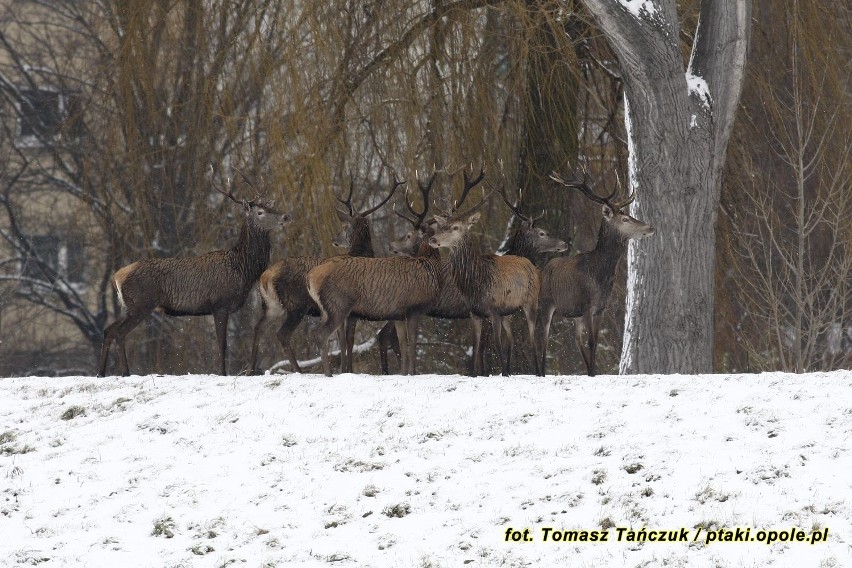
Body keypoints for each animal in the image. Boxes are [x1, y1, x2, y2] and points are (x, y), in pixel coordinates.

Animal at [98, 173, 292, 378]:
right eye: (260, 212)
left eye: (271, 207)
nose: (286, 216)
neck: (242, 270)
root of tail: (116, 277)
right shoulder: (219, 304)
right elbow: (222, 343)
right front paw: (223, 373)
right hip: (141, 305)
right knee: (120, 333)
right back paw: (125, 373)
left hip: (127, 306)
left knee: (108, 330)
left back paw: (101, 373)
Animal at [248, 175, 402, 374]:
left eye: (344, 226)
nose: (334, 239)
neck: (360, 252)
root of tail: (265, 276)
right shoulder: (351, 311)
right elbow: (348, 340)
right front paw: (347, 369)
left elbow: (342, 340)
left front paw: (344, 369)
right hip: (296, 305)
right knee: (283, 334)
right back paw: (299, 370)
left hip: (272, 306)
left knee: (258, 328)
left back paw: (251, 370)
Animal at [540, 173, 660, 378]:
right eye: (625, 219)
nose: (650, 227)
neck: (600, 275)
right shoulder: (588, 305)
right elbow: (591, 342)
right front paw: (592, 372)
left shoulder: (600, 308)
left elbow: (594, 342)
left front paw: (593, 372)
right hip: (546, 303)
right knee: (541, 337)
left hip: (574, 314)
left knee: (576, 340)